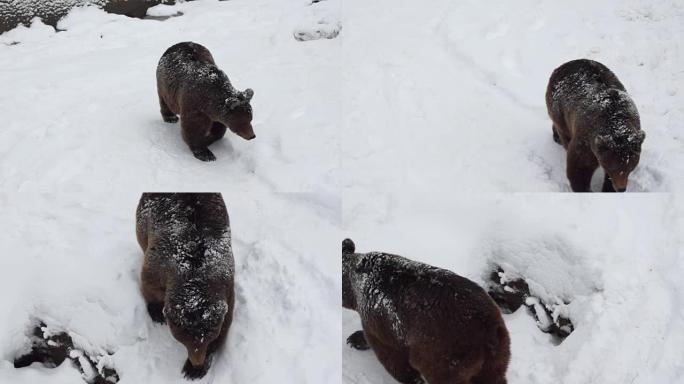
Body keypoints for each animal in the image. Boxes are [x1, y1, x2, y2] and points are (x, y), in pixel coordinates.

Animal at [136, 194, 235, 380]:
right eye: (182, 340)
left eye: (208, 338)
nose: (197, 361)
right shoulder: (158, 263)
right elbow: (148, 285)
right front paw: (156, 312)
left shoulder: (227, 286)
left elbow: (225, 327)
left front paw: (194, 369)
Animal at [342, 238, 508, 382]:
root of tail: (489, 330)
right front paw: (355, 338)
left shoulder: (378, 317)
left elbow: (391, 355)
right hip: (496, 354)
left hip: (448, 352)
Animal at [544, 58, 648, 192]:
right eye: (613, 168)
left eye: (630, 168)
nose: (621, 188)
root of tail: (565, 64)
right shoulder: (587, 141)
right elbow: (580, 168)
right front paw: (585, 188)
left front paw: (608, 188)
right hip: (559, 109)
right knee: (563, 131)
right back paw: (558, 138)